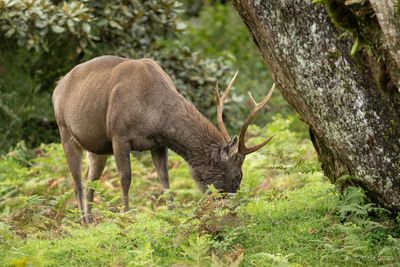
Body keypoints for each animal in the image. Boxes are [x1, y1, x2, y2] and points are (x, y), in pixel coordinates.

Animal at [52, 55, 276, 223]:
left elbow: (164, 178)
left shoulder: (158, 143)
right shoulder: (118, 135)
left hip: (97, 146)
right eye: (238, 175)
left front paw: (172, 212)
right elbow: (126, 178)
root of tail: (57, 86)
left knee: (90, 177)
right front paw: (127, 215)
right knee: (77, 181)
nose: (233, 205)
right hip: (64, 129)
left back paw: (91, 219)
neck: (155, 113)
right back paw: (83, 221)